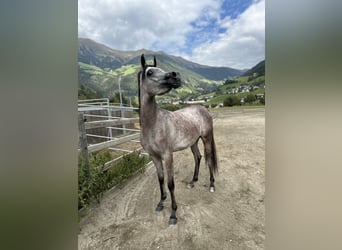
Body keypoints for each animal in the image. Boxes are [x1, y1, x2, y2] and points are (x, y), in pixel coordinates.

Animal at [138, 54, 218, 225]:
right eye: (149, 72)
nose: (175, 76)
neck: (153, 124)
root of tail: (203, 109)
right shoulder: (154, 157)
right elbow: (161, 180)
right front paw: (161, 203)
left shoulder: (167, 156)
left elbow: (170, 184)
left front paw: (173, 214)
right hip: (193, 142)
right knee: (198, 157)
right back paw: (193, 182)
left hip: (206, 139)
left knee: (208, 159)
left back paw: (211, 185)